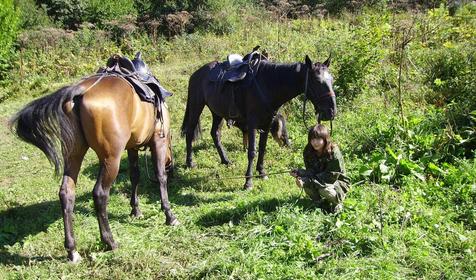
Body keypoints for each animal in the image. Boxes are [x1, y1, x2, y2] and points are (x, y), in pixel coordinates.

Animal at [9, 75, 178, 262]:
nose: (172, 168)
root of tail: (79, 91)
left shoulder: (132, 147)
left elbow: (135, 176)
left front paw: (135, 210)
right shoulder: (158, 140)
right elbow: (160, 177)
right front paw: (169, 215)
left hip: (73, 155)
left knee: (66, 193)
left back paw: (72, 250)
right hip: (111, 159)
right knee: (100, 194)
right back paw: (110, 241)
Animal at [180, 53, 336, 189]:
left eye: (332, 79)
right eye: (317, 81)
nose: (331, 111)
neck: (267, 85)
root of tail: (196, 74)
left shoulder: (266, 124)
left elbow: (262, 149)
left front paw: (261, 172)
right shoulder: (252, 124)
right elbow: (252, 152)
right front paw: (248, 182)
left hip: (217, 112)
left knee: (215, 133)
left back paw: (226, 161)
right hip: (196, 106)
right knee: (190, 132)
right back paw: (190, 163)